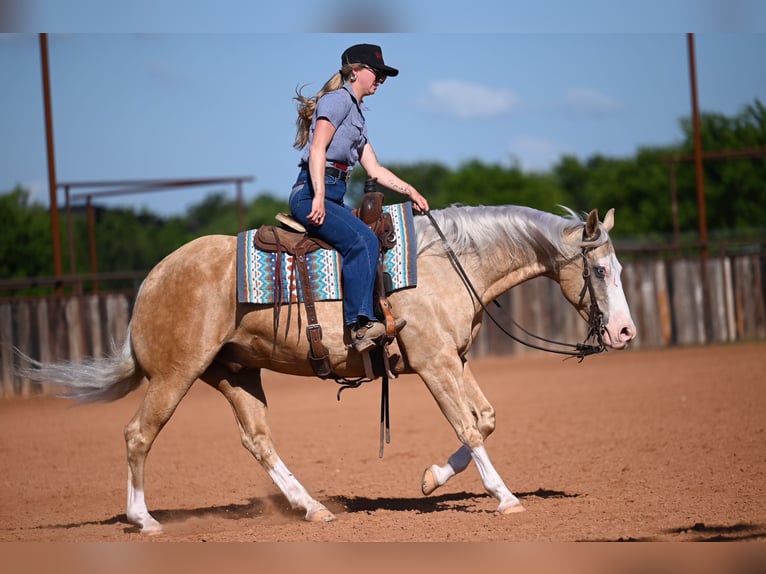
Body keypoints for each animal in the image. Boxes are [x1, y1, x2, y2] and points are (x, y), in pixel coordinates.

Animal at [26, 204, 636, 534]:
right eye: (600, 270)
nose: (626, 333)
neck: (447, 263)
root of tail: (151, 280)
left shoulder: (454, 359)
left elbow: (484, 419)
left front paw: (431, 478)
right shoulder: (434, 362)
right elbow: (468, 426)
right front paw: (505, 498)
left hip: (235, 373)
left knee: (258, 441)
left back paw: (313, 508)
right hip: (175, 376)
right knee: (138, 434)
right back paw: (143, 519)